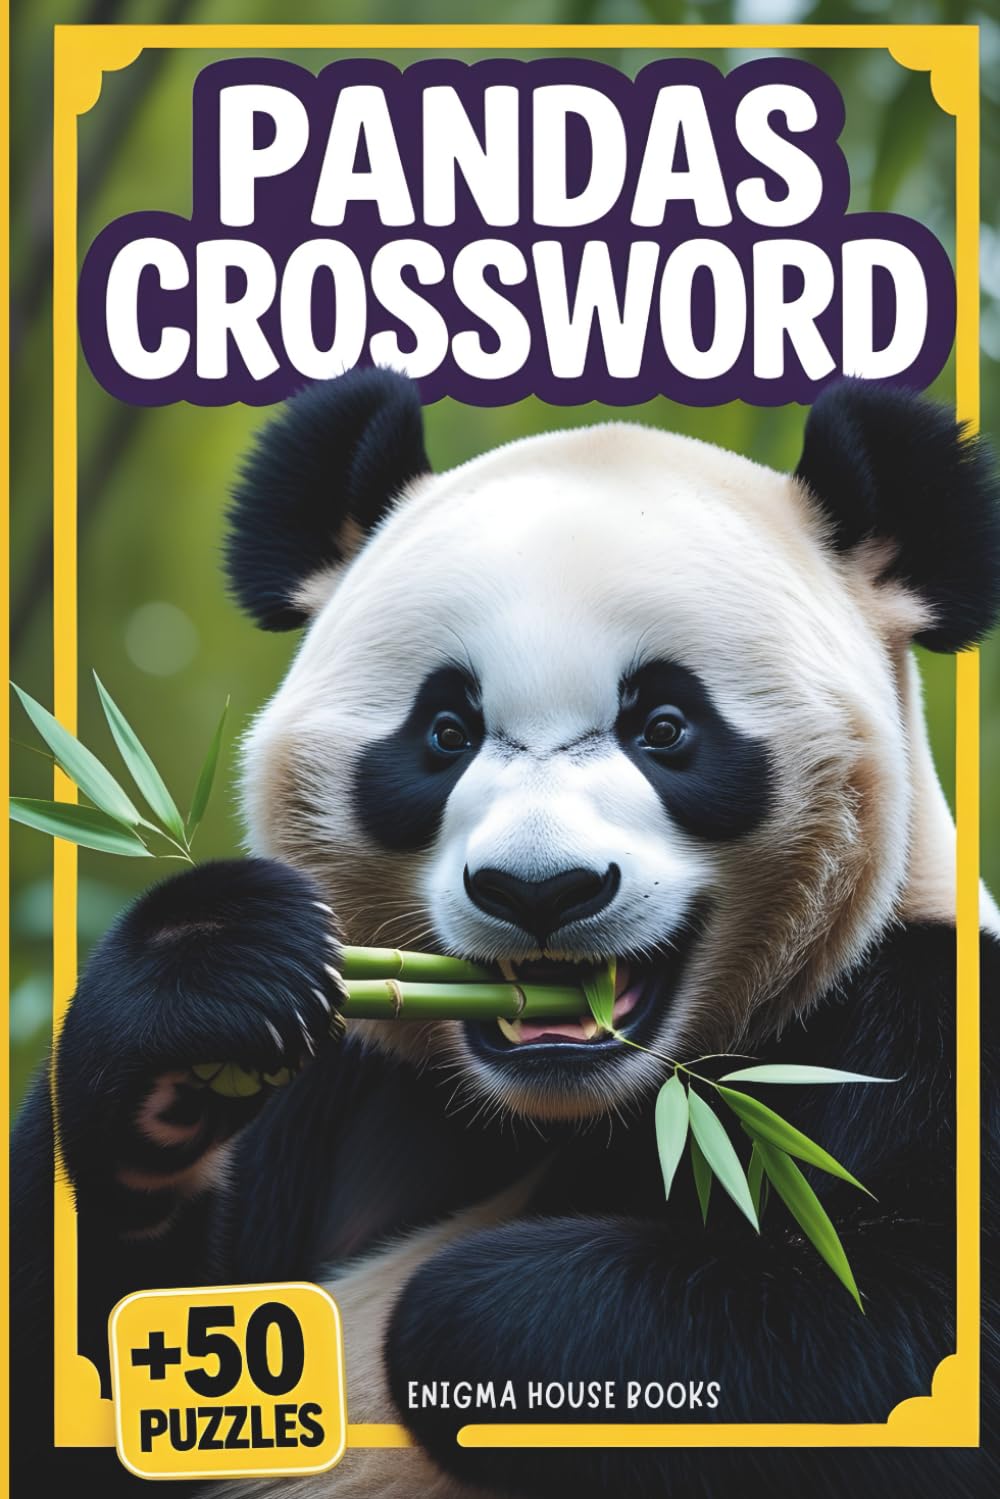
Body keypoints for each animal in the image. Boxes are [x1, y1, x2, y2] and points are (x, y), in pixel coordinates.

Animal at [11, 367, 1000, 1499]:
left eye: (665, 727)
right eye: (446, 730)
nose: (540, 888)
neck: (569, 1109)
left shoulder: (925, 1025)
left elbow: (892, 1336)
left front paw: (465, 1319)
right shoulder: (345, 1071)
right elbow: (86, 1379)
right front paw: (194, 1011)